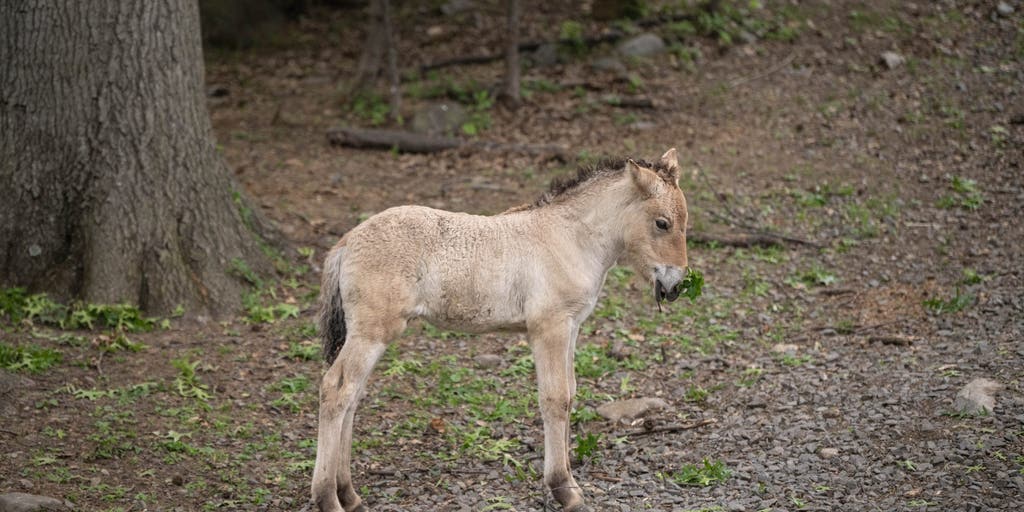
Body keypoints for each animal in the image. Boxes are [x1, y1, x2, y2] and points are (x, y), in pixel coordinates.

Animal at [312, 149, 690, 512]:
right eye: (662, 222)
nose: (675, 287)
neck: (570, 238)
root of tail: (348, 240)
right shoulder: (548, 328)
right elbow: (555, 398)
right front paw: (564, 489)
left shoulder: (571, 327)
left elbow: (570, 393)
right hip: (372, 333)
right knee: (336, 389)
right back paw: (328, 498)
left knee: (352, 396)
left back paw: (349, 494)